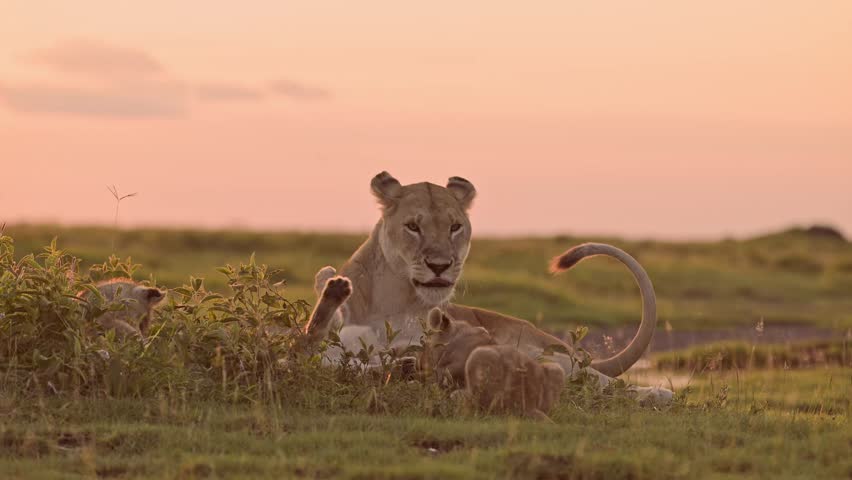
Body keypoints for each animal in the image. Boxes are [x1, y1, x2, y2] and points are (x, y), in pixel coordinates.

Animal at [304, 171, 672, 405]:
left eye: (455, 227)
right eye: (412, 227)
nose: (440, 265)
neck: (393, 303)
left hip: (547, 355)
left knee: (609, 384)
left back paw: (655, 395)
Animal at [421, 307, 564, 421]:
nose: (419, 365)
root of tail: (530, 406)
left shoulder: (445, 372)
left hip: (478, 357)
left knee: (476, 405)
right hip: (556, 368)